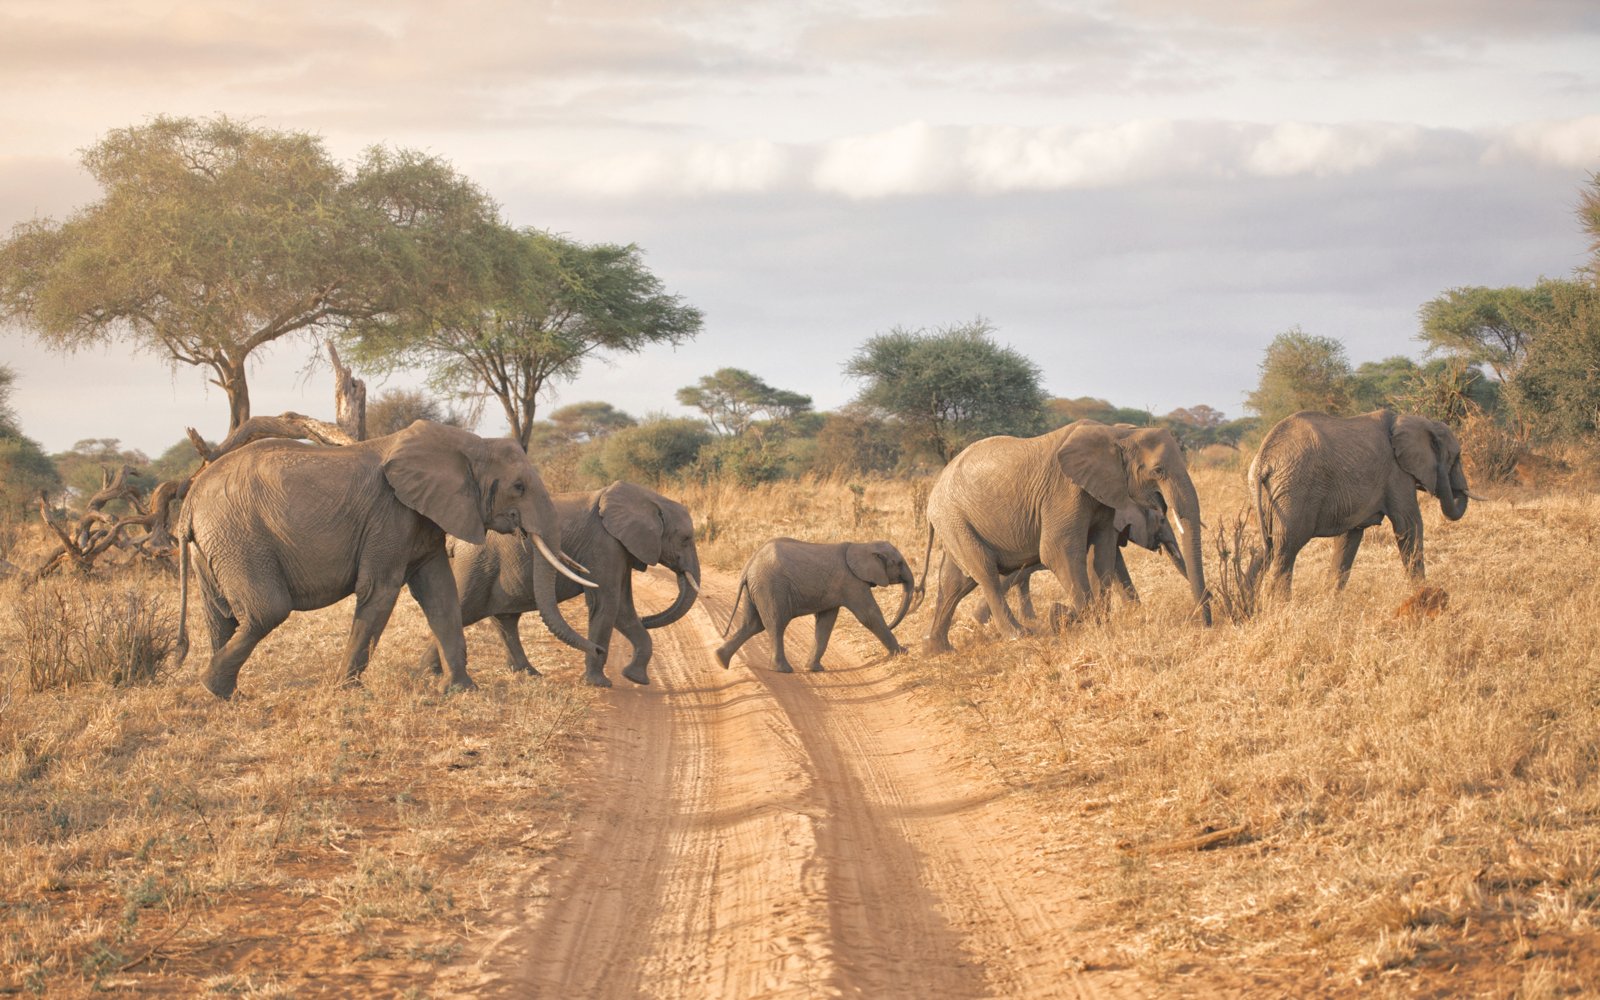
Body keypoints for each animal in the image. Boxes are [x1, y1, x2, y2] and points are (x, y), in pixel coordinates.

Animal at [173, 419, 601, 694]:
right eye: (519, 487)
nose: (599, 650)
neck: (468, 445)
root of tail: (190, 499)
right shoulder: (390, 514)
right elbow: (380, 589)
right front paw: (347, 692)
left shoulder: (424, 518)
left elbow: (441, 595)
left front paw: (463, 690)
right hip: (239, 537)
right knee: (267, 611)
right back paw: (211, 686)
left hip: (214, 545)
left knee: (221, 616)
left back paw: (225, 694)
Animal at [422, 476, 704, 684]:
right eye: (686, 539)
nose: (599, 650)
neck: (650, 498)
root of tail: (454, 540)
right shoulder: (604, 545)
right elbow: (607, 604)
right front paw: (599, 683)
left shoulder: (620, 549)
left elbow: (623, 609)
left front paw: (635, 678)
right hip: (476, 564)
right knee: (463, 610)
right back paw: (428, 673)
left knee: (505, 619)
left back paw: (529, 674)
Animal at [713, 537, 915, 672]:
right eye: (899, 563)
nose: (893, 624)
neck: (863, 544)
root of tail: (749, 565)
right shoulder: (852, 583)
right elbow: (870, 616)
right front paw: (903, 652)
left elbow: (825, 623)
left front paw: (814, 668)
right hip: (771, 587)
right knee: (776, 624)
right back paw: (783, 670)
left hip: (755, 589)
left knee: (753, 624)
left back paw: (720, 660)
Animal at [921, 416, 1203, 652]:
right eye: (1158, 471)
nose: (1206, 620)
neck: (1117, 434)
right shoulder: (1064, 491)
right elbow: (1058, 551)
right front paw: (1069, 617)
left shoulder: (1104, 495)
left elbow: (1102, 554)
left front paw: (1099, 620)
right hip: (954, 518)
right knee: (985, 571)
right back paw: (1019, 635)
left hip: (956, 523)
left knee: (955, 581)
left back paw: (938, 649)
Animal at [1248, 409, 1472, 595]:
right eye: (1456, 458)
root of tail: (1263, 461)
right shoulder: (1397, 474)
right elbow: (1409, 525)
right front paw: (1424, 592)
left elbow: (1349, 538)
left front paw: (1331, 601)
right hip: (1295, 491)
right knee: (1286, 548)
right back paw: (1279, 606)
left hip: (1271, 497)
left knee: (1264, 548)